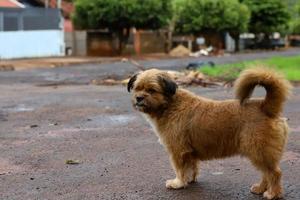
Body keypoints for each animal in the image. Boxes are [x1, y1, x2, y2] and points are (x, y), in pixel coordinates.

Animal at [127, 68, 292, 199]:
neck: (170, 104)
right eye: (137, 88)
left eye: (152, 90)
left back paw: (272, 194)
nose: (139, 98)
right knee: (266, 173)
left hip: (258, 151)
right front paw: (189, 180)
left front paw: (178, 183)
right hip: (260, 154)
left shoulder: (178, 151)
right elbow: (191, 168)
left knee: (274, 173)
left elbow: (180, 169)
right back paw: (260, 188)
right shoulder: (189, 152)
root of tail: (266, 106)